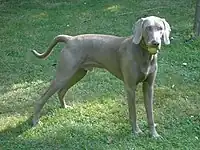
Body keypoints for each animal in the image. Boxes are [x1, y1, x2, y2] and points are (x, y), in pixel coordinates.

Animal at [31, 15, 170, 138]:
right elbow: (133, 113)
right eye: (148, 28)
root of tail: (70, 38)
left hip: (78, 73)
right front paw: (136, 132)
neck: (144, 54)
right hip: (64, 74)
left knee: (61, 91)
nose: (155, 43)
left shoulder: (149, 86)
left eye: (160, 28)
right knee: (42, 98)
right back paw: (35, 121)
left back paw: (64, 107)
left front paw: (154, 134)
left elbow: (150, 114)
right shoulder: (130, 87)